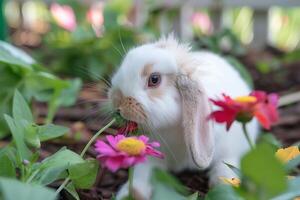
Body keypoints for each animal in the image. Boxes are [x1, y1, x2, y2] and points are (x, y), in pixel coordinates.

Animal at [109, 35, 258, 199]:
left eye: (154, 79)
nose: (116, 101)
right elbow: (141, 176)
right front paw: (129, 195)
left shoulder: (229, 150)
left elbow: (226, 170)